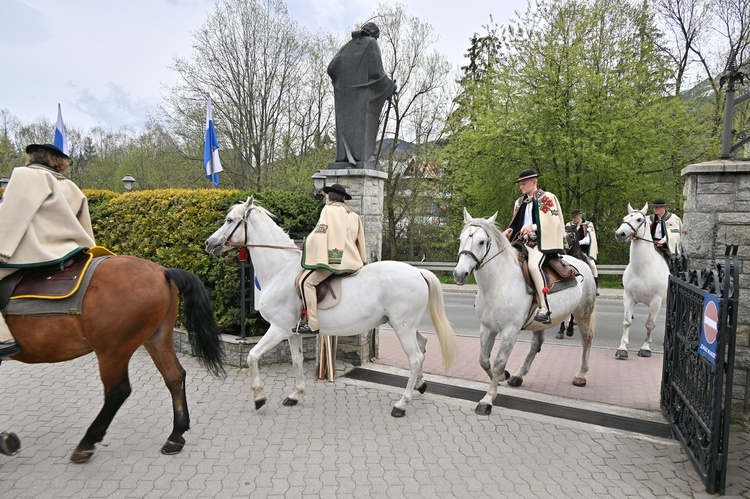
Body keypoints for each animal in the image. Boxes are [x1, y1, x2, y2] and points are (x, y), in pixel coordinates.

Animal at [0, 258, 225, 464]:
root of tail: (163, 272)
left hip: (113, 351)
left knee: (118, 391)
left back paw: (87, 443)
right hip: (156, 338)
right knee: (174, 377)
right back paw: (175, 436)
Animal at [204, 199, 458, 418]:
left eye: (229, 220)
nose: (209, 243)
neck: (280, 270)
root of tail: (418, 271)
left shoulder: (277, 329)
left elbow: (252, 357)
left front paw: (258, 397)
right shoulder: (292, 332)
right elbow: (296, 360)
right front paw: (295, 394)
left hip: (402, 327)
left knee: (414, 358)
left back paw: (402, 404)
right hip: (405, 325)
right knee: (423, 345)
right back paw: (421, 385)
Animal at [452, 209, 600, 416]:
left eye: (481, 241)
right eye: (461, 238)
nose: (459, 274)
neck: (499, 282)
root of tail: (581, 263)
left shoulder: (510, 331)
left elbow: (498, 363)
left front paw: (488, 399)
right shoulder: (487, 328)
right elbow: (484, 360)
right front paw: (503, 377)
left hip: (583, 311)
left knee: (586, 339)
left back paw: (581, 375)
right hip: (541, 321)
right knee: (536, 345)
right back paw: (518, 375)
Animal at [612, 203, 672, 360]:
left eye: (639, 219)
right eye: (625, 218)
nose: (620, 234)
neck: (643, 270)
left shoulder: (656, 302)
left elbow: (650, 324)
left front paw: (646, 348)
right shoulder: (628, 297)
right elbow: (627, 322)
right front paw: (622, 348)